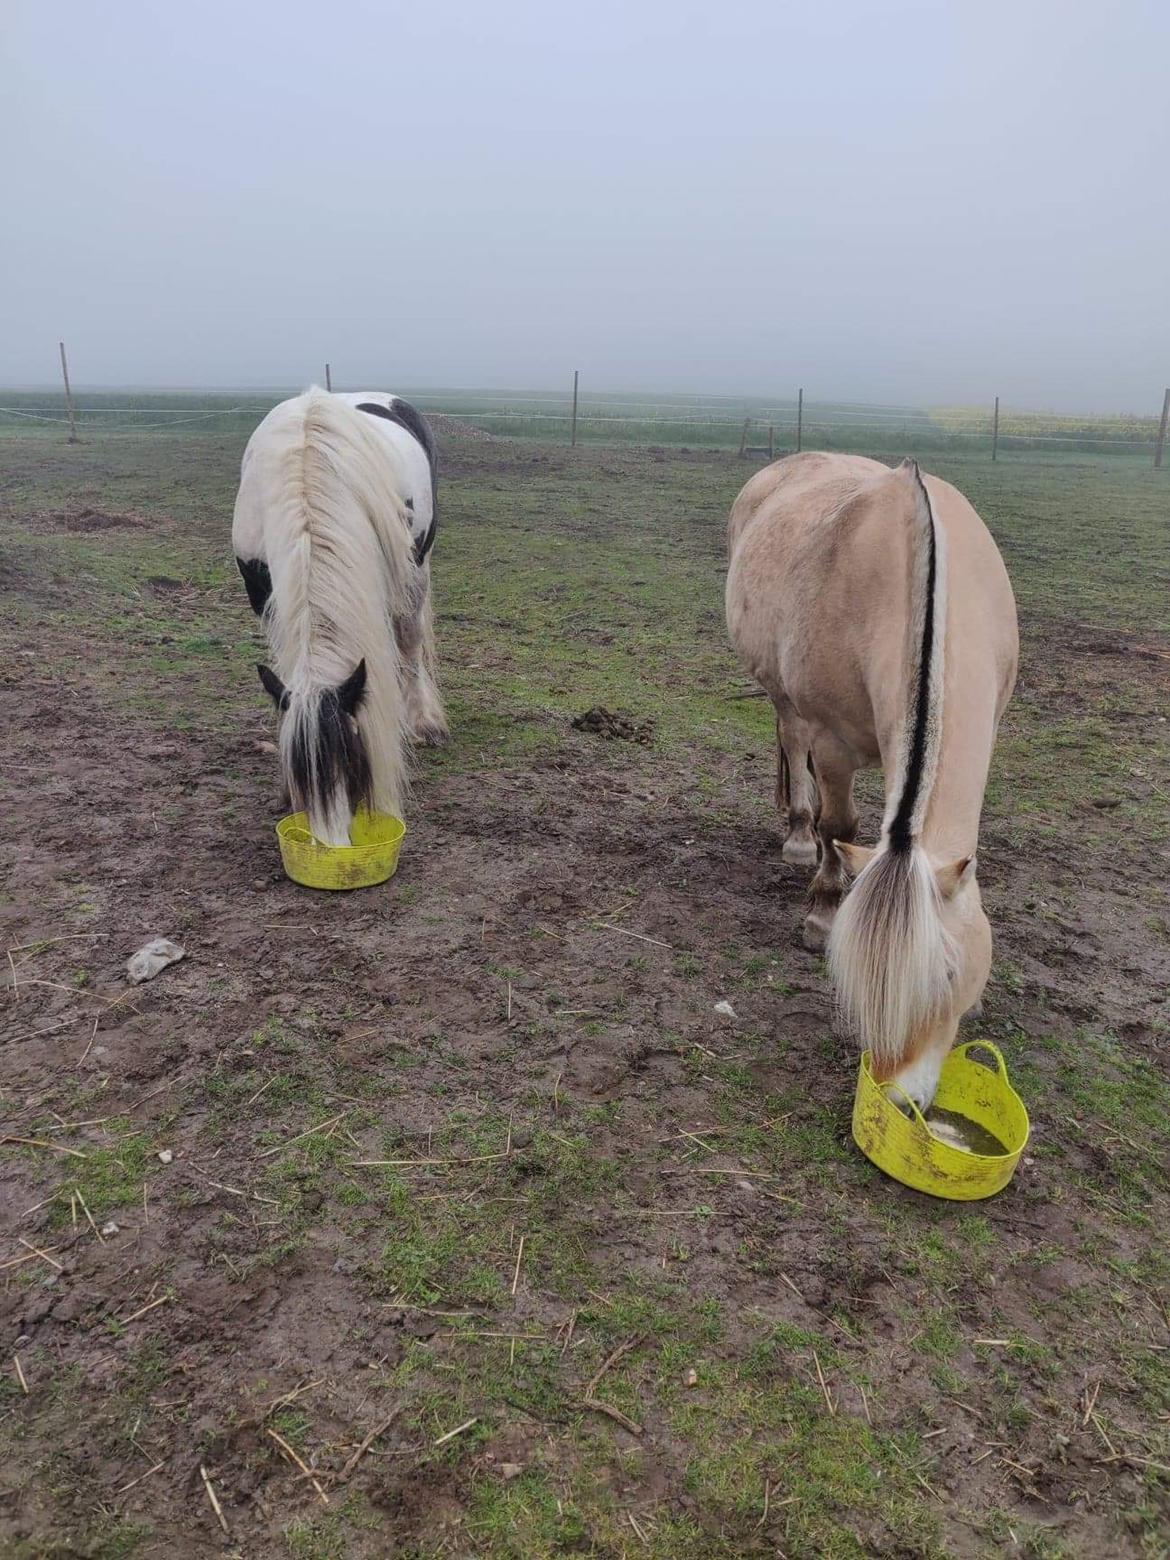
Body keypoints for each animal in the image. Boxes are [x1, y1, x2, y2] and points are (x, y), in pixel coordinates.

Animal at [233, 390, 449, 854]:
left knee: (409, 641)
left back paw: (422, 721)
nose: (330, 844)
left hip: (416, 569)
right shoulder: (260, 590)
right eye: (300, 771)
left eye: (352, 761)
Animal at [733, 452, 1017, 1110]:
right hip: (785, 698)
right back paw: (797, 839)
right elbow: (840, 825)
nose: (900, 1099)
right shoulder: (832, 740)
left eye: (947, 974)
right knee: (792, 743)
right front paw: (822, 911)